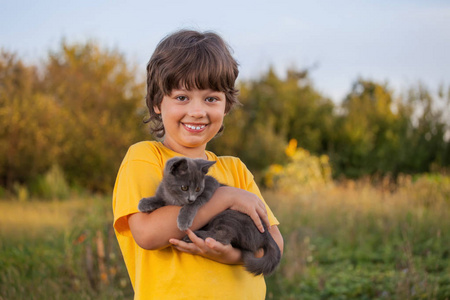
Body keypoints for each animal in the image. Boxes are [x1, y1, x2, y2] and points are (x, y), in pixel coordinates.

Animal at [137, 157, 280, 276]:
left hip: (228, 215)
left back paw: (193, 235)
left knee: (224, 236)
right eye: (184, 187)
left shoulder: (211, 185)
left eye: (198, 189)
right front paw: (145, 203)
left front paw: (183, 219)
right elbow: (159, 198)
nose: (190, 199)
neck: (174, 197)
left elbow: (193, 205)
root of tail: (266, 234)